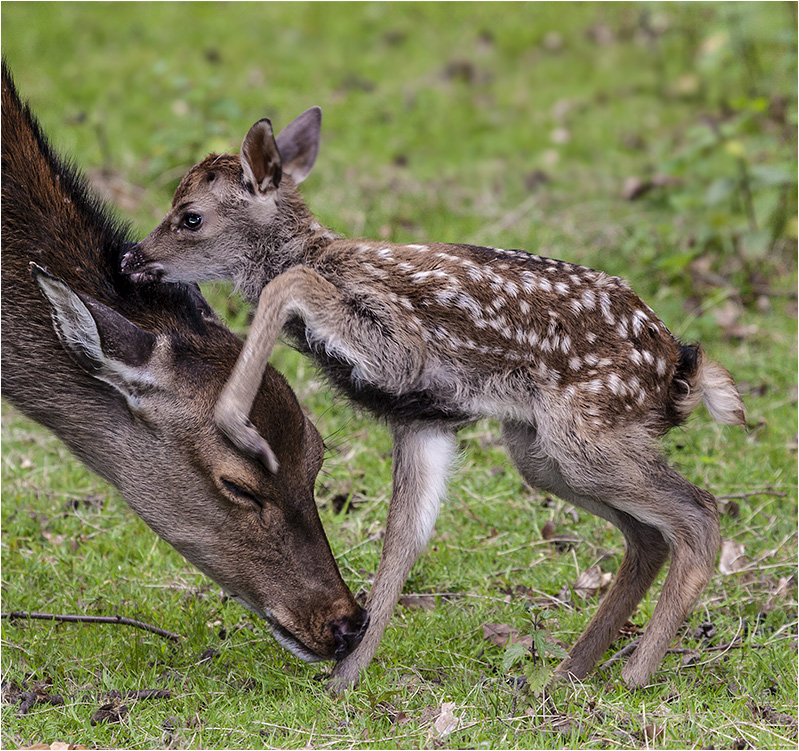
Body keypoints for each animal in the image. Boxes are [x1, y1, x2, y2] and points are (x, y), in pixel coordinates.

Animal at [123, 108, 744, 692]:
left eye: (190, 216)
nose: (132, 259)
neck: (323, 253)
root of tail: (677, 372)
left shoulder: (399, 343)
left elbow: (289, 283)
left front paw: (238, 426)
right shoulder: (421, 420)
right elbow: (403, 544)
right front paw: (342, 685)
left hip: (585, 433)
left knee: (699, 513)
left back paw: (634, 674)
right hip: (541, 451)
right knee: (648, 535)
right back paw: (566, 675)